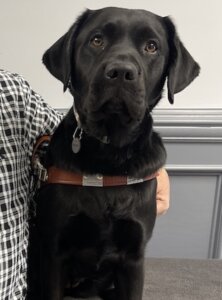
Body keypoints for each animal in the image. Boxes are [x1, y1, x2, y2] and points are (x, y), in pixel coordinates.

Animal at [27, 7, 199, 300]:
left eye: (151, 46)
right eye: (97, 40)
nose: (121, 71)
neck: (110, 154)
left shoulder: (133, 259)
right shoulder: (55, 254)